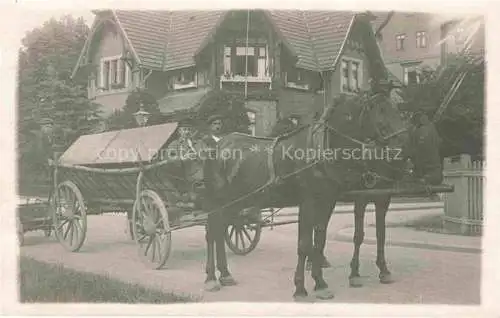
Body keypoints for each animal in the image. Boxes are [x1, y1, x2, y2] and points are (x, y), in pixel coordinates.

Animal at [198, 90, 418, 300]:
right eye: (380, 114)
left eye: (397, 112)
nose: (404, 146)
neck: (321, 150)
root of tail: (219, 145)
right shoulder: (308, 202)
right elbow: (304, 245)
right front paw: (300, 288)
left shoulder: (328, 201)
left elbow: (319, 241)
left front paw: (320, 284)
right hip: (218, 202)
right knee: (212, 233)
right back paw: (210, 279)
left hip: (234, 203)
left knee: (221, 232)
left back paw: (225, 274)